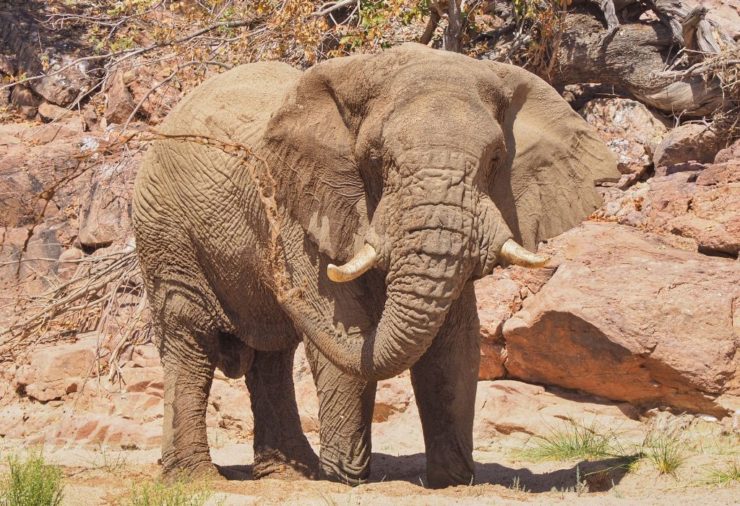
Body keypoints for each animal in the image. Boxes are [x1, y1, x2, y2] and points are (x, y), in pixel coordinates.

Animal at [132, 42, 618, 488]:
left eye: (495, 159)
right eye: (377, 161)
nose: (282, 281)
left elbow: (454, 345)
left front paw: (453, 481)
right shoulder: (301, 212)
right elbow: (346, 325)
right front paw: (346, 480)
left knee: (271, 358)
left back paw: (292, 474)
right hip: (164, 231)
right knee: (190, 339)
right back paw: (196, 479)